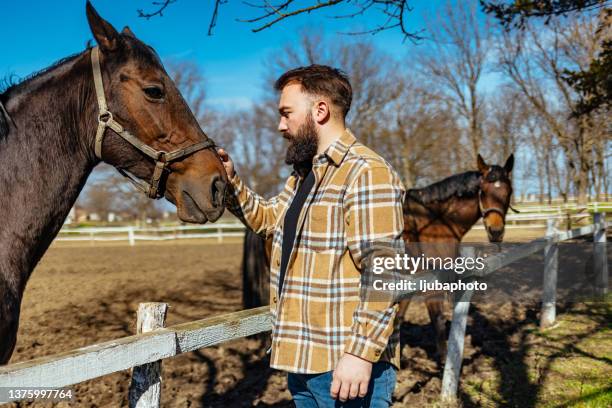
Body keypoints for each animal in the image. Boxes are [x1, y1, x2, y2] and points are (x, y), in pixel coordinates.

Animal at [241, 154, 512, 364]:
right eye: (484, 191)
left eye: (508, 191)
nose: (496, 231)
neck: (434, 223)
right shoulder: (430, 282)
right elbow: (436, 320)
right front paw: (443, 359)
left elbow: (397, 315)